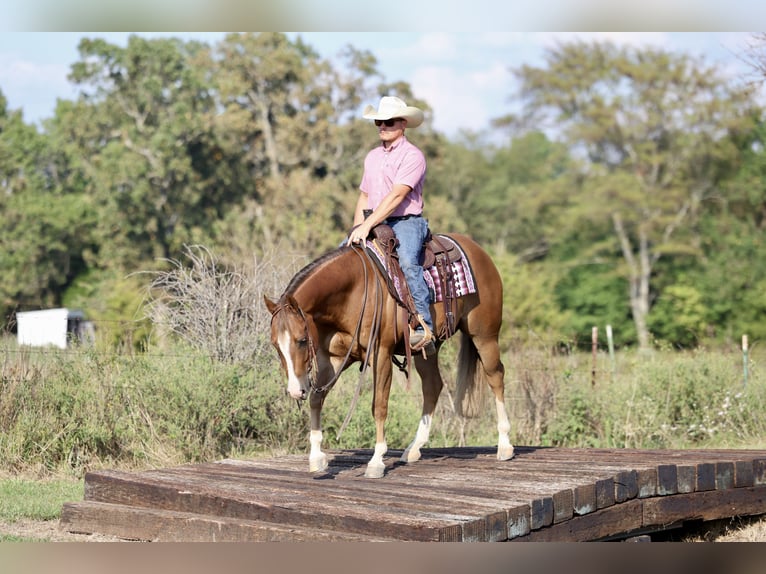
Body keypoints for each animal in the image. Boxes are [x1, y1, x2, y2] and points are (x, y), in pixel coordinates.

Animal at [263, 232, 514, 478]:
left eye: (302, 340)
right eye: (275, 345)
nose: (295, 391)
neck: (352, 292)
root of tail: (478, 251)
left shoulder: (380, 354)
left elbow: (379, 405)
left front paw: (376, 462)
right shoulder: (332, 359)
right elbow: (316, 399)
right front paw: (316, 458)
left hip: (484, 335)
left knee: (496, 377)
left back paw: (504, 445)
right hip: (427, 349)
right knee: (433, 386)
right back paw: (413, 449)